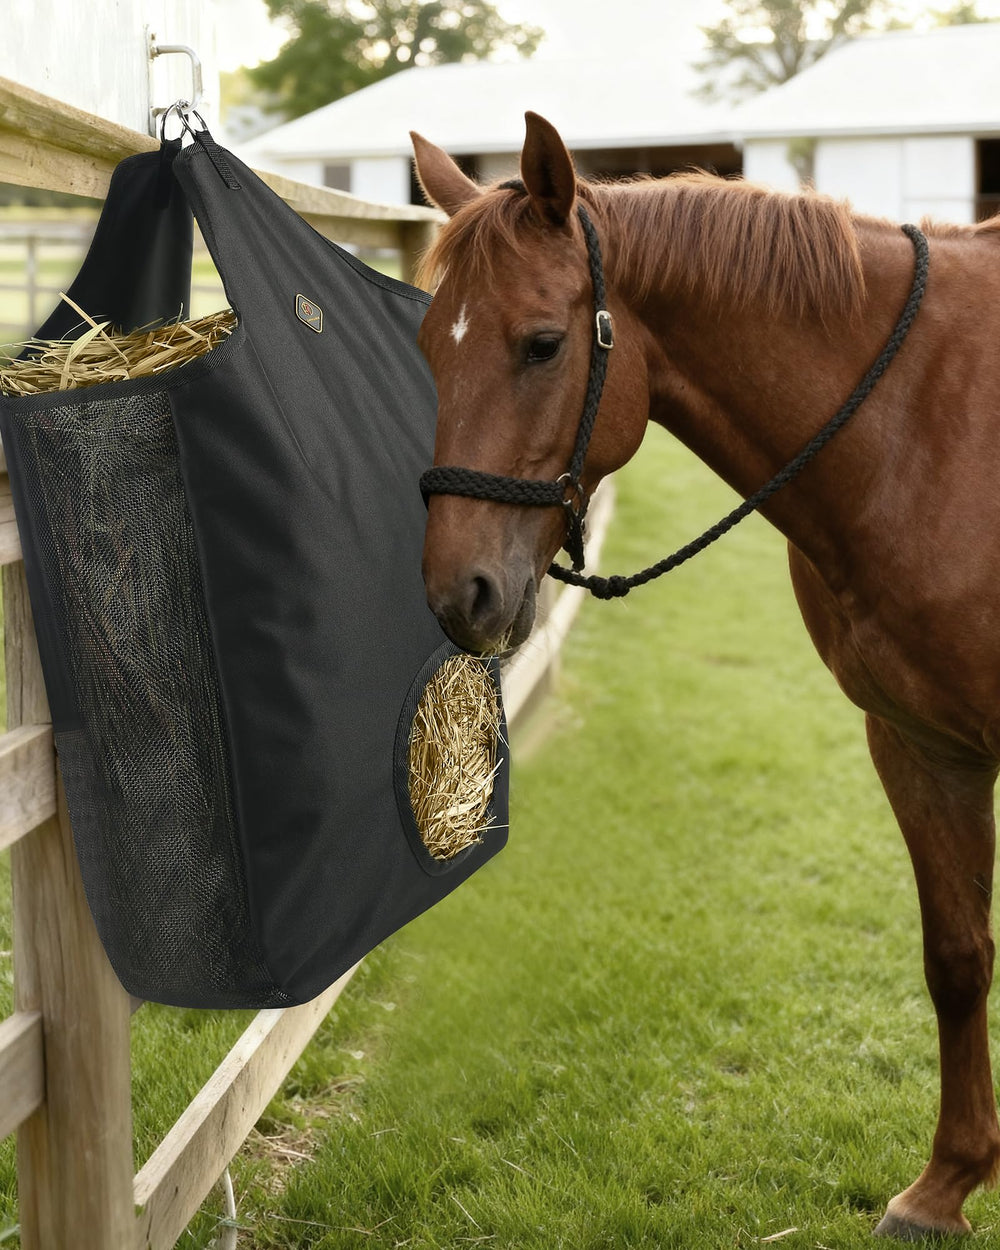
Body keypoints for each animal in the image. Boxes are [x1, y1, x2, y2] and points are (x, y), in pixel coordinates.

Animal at [410, 111, 1000, 1239]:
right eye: (427, 348)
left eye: (542, 343)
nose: (461, 592)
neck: (927, 425)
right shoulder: (920, 745)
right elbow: (956, 956)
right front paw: (945, 1185)